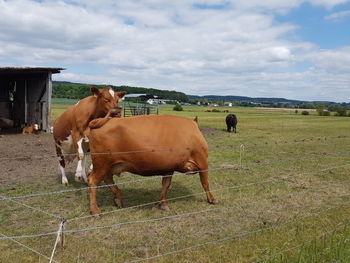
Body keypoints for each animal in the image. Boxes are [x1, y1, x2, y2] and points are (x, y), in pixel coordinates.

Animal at [86, 114, 217, 216]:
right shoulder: (202, 161)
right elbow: (205, 182)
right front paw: (212, 199)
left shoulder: (169, 167)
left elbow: (166, 185)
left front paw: (163, 204)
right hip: (101, 163)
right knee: (92, 181)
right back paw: (95, 210)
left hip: (109, 165)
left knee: (107, 179)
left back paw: (118, 199)